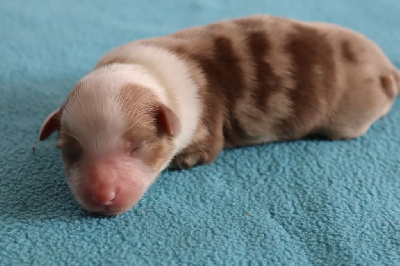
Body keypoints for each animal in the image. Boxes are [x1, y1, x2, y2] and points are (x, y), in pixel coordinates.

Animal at [38, 15, 400, 216]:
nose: (102, 196)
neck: (146, 73)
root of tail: (386, 67)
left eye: (138, 146)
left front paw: (184, 160)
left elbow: (209, 150)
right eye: (70, 152)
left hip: (351, 115)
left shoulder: (206, 120)